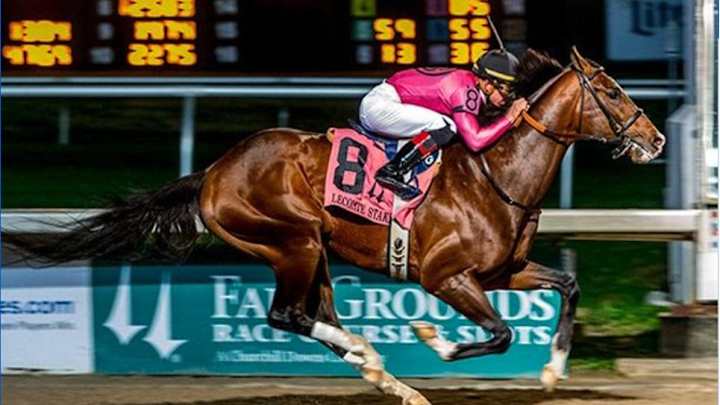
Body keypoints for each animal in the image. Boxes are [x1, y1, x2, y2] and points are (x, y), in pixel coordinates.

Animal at [4, 48, 665, 405]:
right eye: (610, 91)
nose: (656, 140)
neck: (497, 174)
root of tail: (214, 171)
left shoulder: (505, 269)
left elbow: (567, 286)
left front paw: (552, 370)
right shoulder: (447, 277)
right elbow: (498, 333)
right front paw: (433, 338)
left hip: (314, 248)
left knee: (316, 314)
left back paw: (385, 375)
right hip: (290, 239)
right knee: (288, 315)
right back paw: (372, 357)